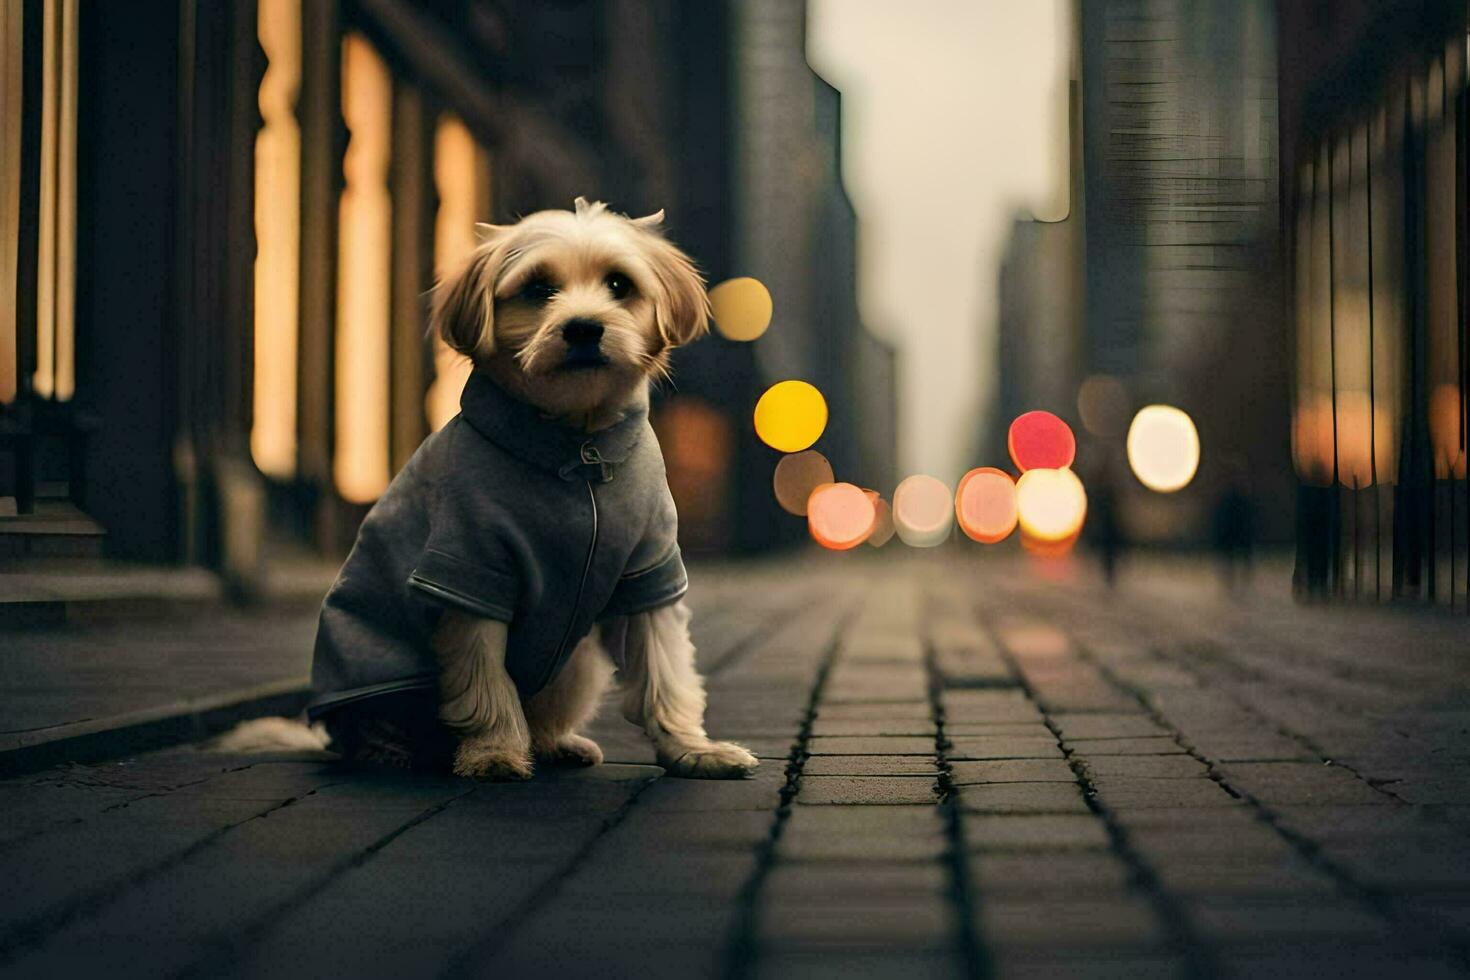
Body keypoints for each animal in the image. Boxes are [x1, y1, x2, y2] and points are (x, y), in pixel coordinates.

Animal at [229, 196, 764, 781]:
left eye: (619, 284)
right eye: (538, 288)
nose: (583, 328)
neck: (576, 450)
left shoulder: (650, 571)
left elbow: (667, 677)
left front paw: (693, 750)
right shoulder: (471, 572)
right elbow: (486, 684)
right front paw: (494, 753)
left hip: (576, 664)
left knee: (547, 713)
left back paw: (556, 743)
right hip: (382, 688)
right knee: (371, 730)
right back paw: (392, 750)